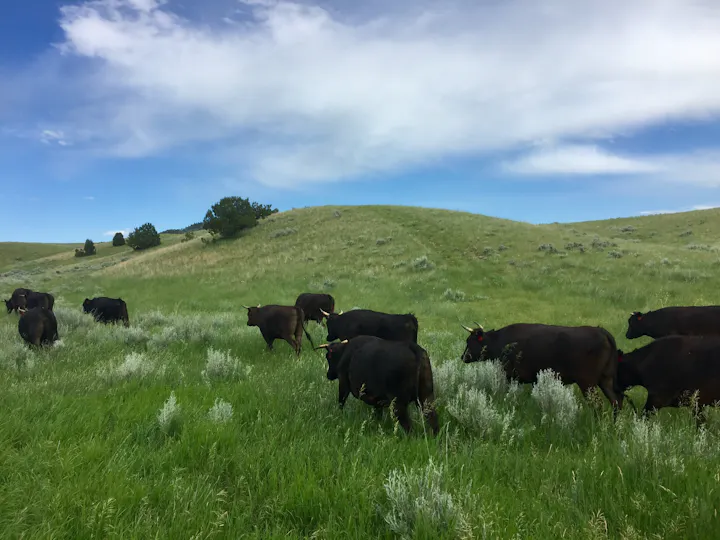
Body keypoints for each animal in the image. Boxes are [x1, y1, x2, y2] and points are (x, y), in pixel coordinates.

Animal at [460, 322, 623, 413]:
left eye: (470, 341)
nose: (463, 357)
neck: (502, 342)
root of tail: (601, 331)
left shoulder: (512, 376)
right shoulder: (533, 379)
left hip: (587, 383)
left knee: (598, 405)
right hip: (606, 380)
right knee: (616, 402)